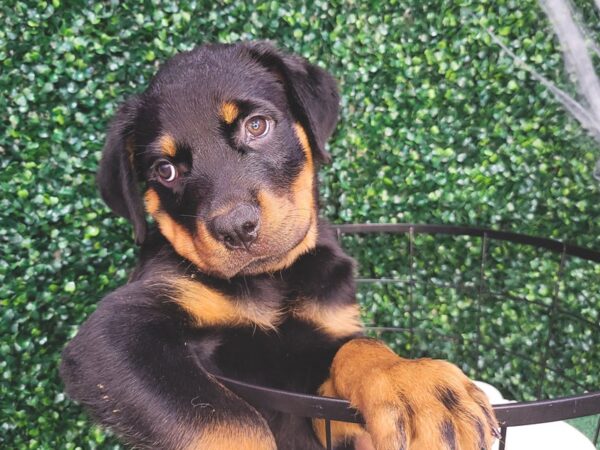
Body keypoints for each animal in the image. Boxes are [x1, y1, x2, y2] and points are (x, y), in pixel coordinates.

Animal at [61, 40, 500, 448]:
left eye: (256, 126)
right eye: (164, 170)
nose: (236, 228)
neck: (273, 280)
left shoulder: (322, 376)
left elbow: (359, 345)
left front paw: (413, 382)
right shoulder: (115, 337)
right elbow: (230, 422)